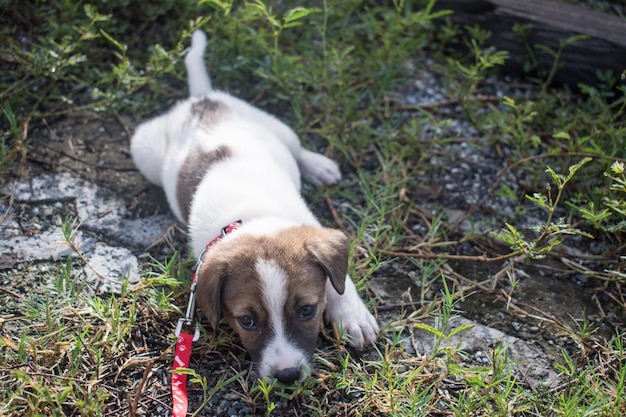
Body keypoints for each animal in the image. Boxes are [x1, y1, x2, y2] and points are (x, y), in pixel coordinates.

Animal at [130, 30, 378, 384]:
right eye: (246, 320)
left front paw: (352, 314)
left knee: (297, 148)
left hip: (276, 126)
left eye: (307, 310)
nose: (287, 375)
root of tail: (200, 101)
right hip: (144, 150)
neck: (251, 218)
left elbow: (339, 284)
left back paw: (319, 166)